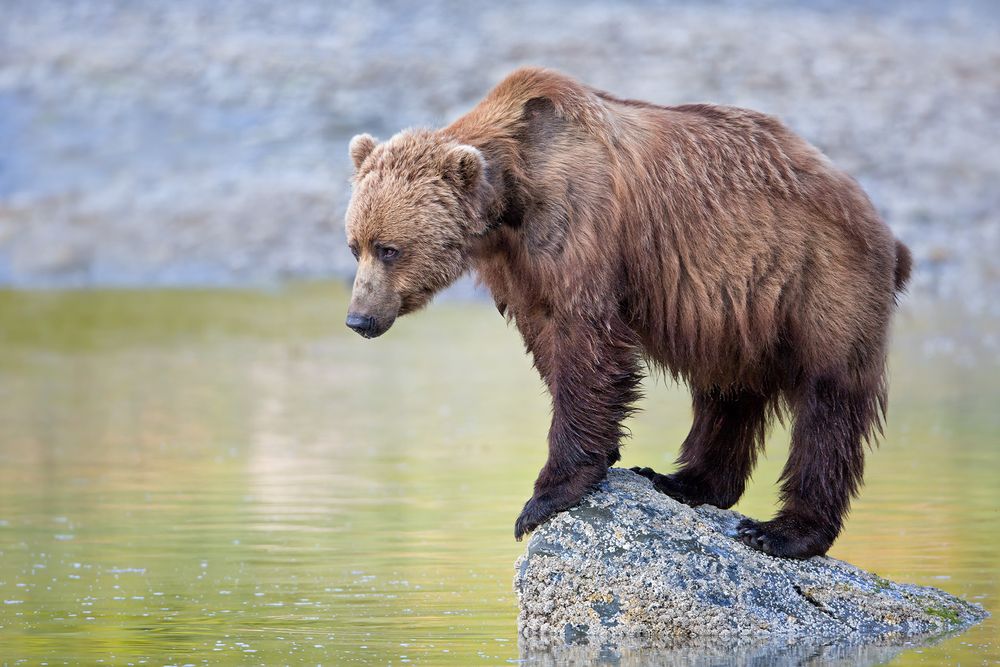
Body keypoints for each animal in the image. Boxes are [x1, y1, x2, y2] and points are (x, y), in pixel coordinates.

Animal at [343, 67, 911, 559]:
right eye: (355, 246)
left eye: (389, 248)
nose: (359, 319)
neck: (511, 195)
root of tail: (885, 229)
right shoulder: (520, 265)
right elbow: (551, 344)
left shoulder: (582, 223)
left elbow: (588, 341)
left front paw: (545, 496)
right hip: (740, 308)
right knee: (729, 389)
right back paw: (686, 480)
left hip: (818, 278)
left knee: (828, 401)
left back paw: (785, 531)